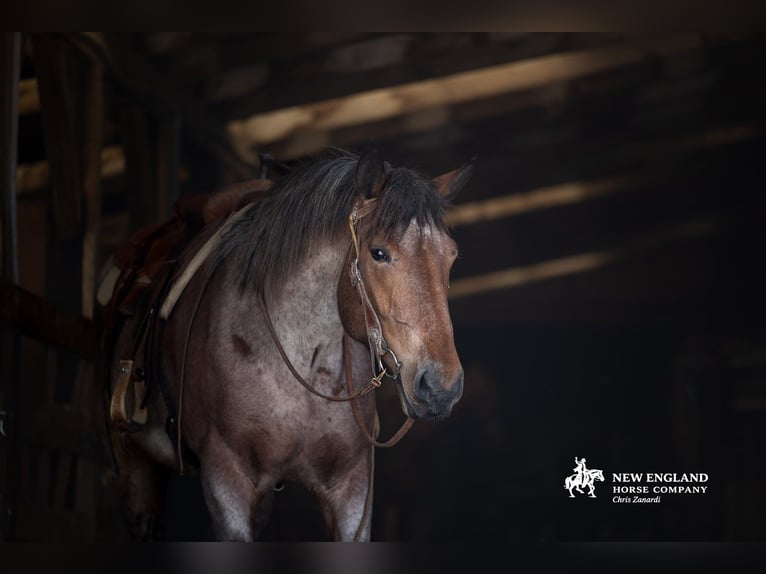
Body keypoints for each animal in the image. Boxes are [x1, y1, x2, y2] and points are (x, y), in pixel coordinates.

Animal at [102, 149, 472, 541]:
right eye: (378, 252)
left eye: (451, 256)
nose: (441, 387)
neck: (302, 360)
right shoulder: (225, 480)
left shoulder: (352, 489)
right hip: (132, 467)